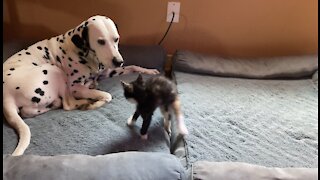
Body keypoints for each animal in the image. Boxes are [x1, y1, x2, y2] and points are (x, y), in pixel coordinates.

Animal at [3, 15, 160, 156]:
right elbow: (107, 95)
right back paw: (86, 102)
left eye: (116, 39)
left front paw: (149, 71)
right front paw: (95, 96)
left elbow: (133, 67)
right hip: (55, 71)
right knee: (68, 104)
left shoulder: (108, 71)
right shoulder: (75, 87)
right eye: (100, 41)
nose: (118, 61)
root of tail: (7, 96)